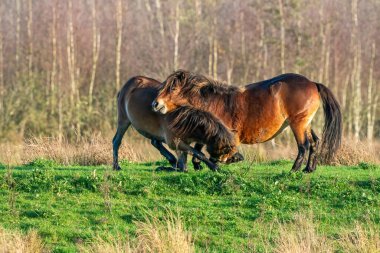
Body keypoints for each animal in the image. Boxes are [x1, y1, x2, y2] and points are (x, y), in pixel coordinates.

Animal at [111, 76, 239, 172]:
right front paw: (214, 167)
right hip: (123, 120)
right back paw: (116, 166)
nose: (237, 158)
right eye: (225, 150)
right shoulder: (175, 142)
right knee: (117, 141)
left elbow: (186, 164)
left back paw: (172, 161)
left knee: (155, 142)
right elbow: (197, 154)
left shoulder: (183, 143)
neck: (182, 119)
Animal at [153, 70, 342, 173]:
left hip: (298, 124)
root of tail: (313, 83)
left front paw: (223, 161)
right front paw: (200, 164)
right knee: (315, 142)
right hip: (305, 124)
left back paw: (294, 169)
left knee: (304, 146)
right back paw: (309, 169)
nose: (155, 104)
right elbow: (200, 147)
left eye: (173, 88)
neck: (215, 102)